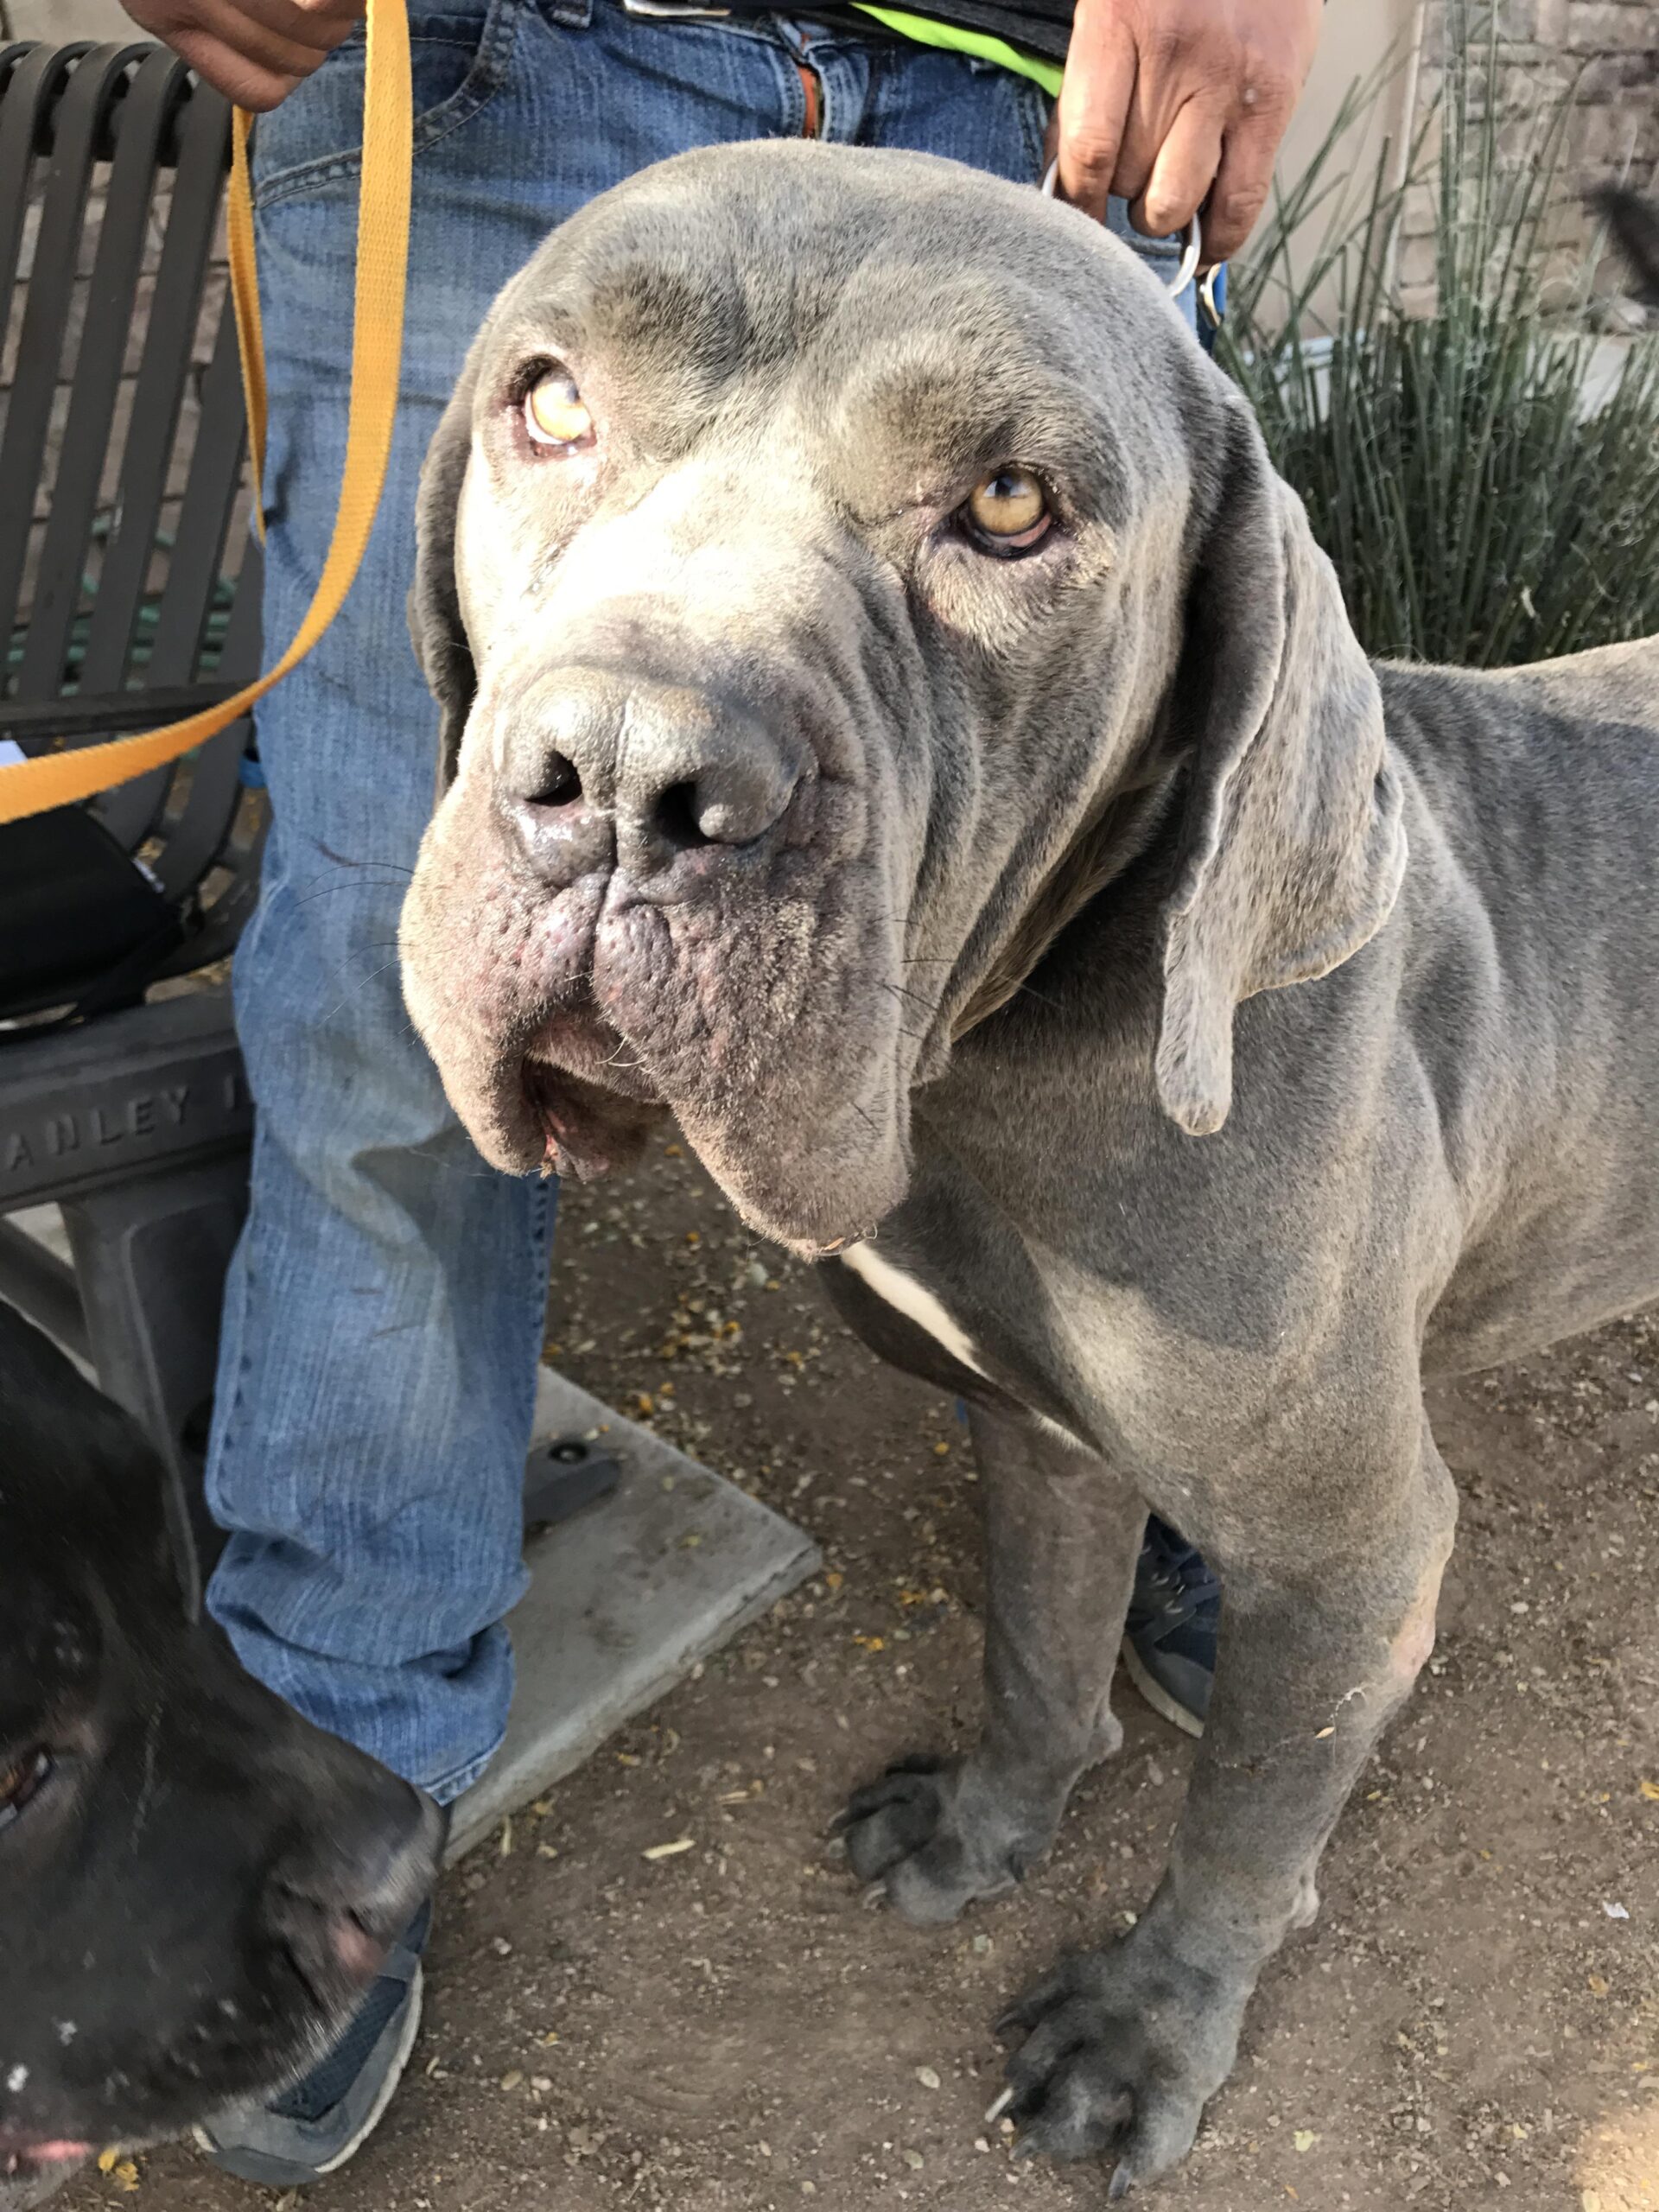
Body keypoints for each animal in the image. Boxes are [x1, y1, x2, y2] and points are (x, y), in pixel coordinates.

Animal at [402, 151, 1659, 2194]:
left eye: (1009, 505)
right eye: (551, 399)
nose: (630, 777)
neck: (987, 1080)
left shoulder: (1345, 1558)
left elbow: (1242, 1828)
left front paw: (1147, 2032)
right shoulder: (1041, 1430)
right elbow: (1036, 1645)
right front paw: (990, 1828)